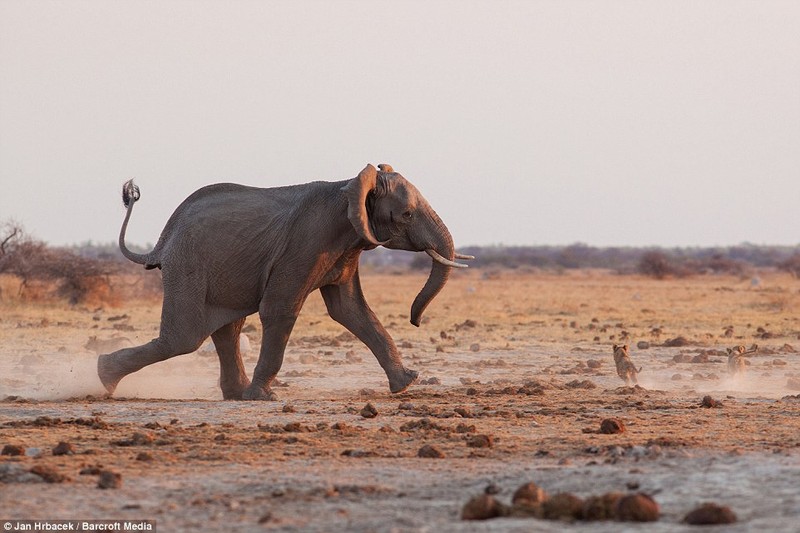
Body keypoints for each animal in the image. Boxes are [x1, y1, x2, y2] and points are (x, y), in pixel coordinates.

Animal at [100, 162, 476, 400]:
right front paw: (265, 397)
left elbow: (350, 311)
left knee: (225, 329)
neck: (351, 184)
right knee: (184, 338)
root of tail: (162, 242)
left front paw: (406, 385)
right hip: (187, 266)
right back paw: (104, 378)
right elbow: (281, 309)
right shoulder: (306, 244)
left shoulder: (346, 246)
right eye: (407, 214)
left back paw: (235, 395)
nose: (416, 321)